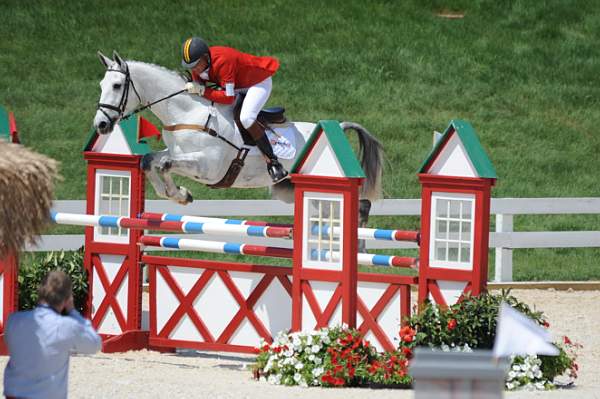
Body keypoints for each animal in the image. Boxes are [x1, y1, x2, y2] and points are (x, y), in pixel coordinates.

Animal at [94, 53, 384, 233]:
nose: (101, 125)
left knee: (360, 205)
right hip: (288, 190)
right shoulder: (177, 152)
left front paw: (179, 193)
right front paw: (179, 195)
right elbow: (149, 161)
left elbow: (164, 163)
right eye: (101, 84)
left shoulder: (208, 168)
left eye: (117, 85)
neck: (187, 113)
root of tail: (338, 127)